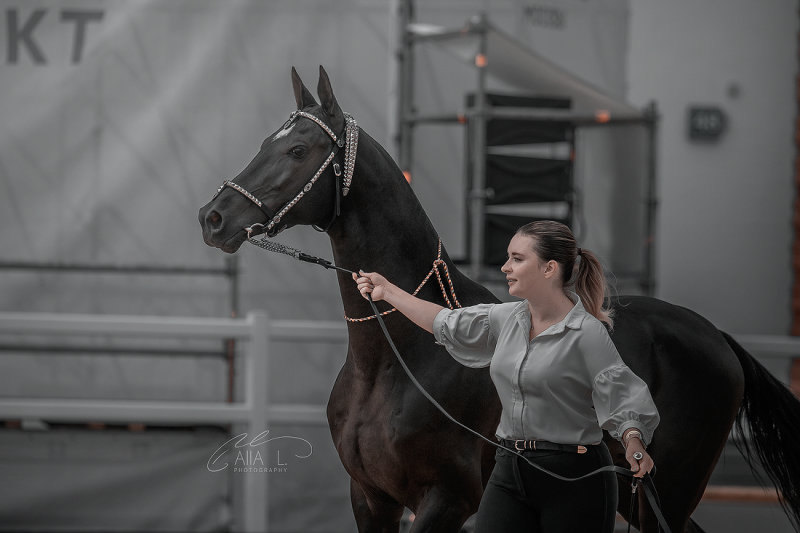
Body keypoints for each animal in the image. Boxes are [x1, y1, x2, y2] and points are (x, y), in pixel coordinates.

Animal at [198, 66, 800, 532]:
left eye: (298, 149)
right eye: (264, 143)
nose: (214, 217)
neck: (401, 358)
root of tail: (717, 338)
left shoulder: (448, 499)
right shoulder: (370, 498)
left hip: (665, 493)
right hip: (641, 497)